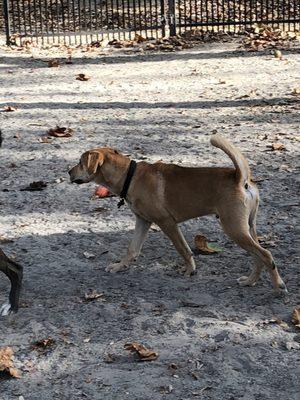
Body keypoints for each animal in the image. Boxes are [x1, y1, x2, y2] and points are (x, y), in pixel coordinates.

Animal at [68, 136, 286, 292]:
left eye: (80, 162)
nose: (68, 172)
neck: (129, 175)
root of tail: (241, 179)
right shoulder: (143, 221)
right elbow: (132, 249)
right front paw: (119, 266)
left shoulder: (167, 223)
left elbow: (183, 249)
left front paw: (190, 270)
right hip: (248, 227)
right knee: (258, 256)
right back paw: (250, 281)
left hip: (233, 228)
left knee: (265, 254)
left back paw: (278, 285)